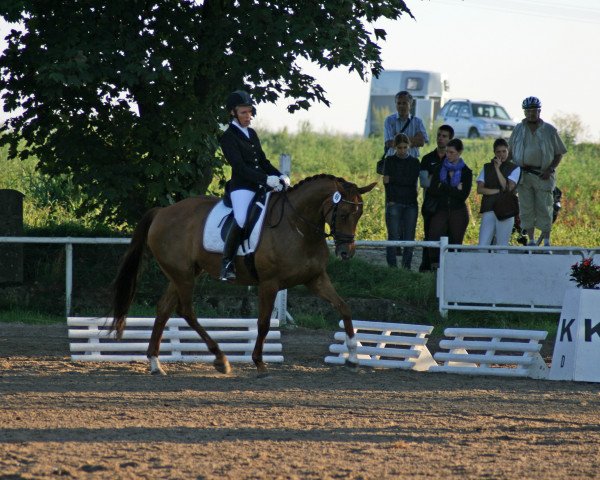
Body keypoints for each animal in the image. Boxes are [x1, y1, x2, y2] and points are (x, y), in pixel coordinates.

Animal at [109, 172, 376, 376]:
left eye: (360, 214)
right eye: (343, 214)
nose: (346, 252)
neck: (298, 227)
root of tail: (162, 212)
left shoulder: (315, 279)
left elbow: (344, 308)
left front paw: (353, 357)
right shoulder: (269, 284)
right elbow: (263, 323)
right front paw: (259, 362)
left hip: (184, 273)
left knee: (164, 309)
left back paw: (156, 364)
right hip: (183, 275)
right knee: (185, 311)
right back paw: (220, 359)